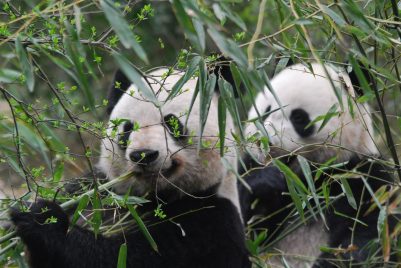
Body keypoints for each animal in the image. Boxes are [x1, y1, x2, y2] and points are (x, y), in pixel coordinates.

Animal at [10, 65, 250, 268]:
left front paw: (43, 219)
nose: (144, 155)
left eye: (172, 123)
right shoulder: (94, 188)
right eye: (126, 129)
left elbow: (124, 257)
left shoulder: (207, 223)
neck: (151, 198)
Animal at [239, 62, 396, 266]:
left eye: (298, 117)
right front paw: (264, 183)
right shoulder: (248, 168)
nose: (265, 142)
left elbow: (373, 233)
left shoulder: (363, 178)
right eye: (266, 112)